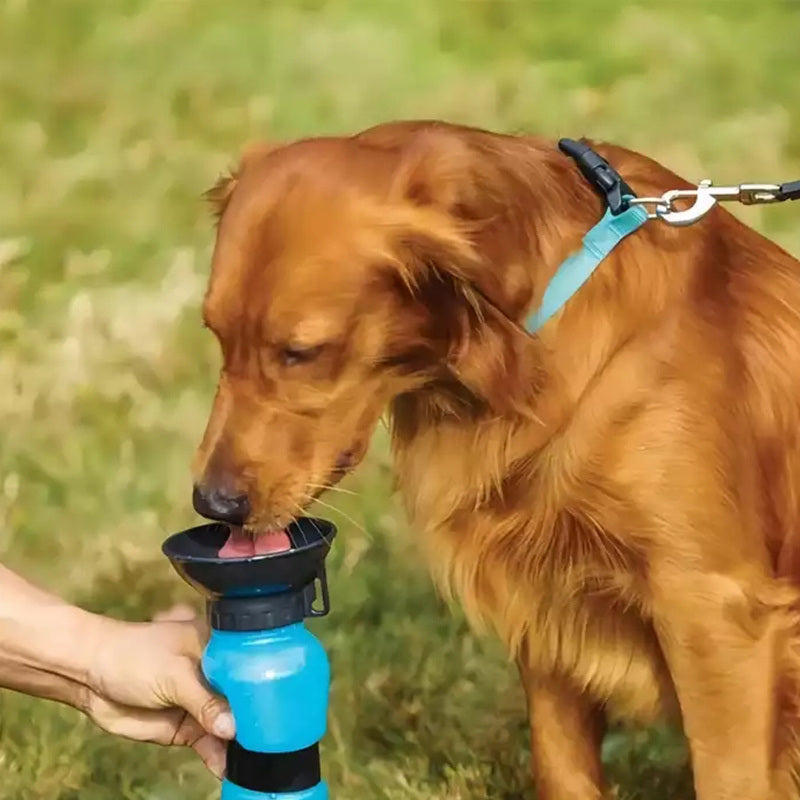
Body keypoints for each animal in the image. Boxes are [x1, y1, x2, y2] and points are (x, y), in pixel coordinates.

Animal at [191, 120, 800, 800]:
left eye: (301, 352)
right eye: (215, 334)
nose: (212, 503)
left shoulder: (715, 611)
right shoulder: (546, 597)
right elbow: (561, 767)